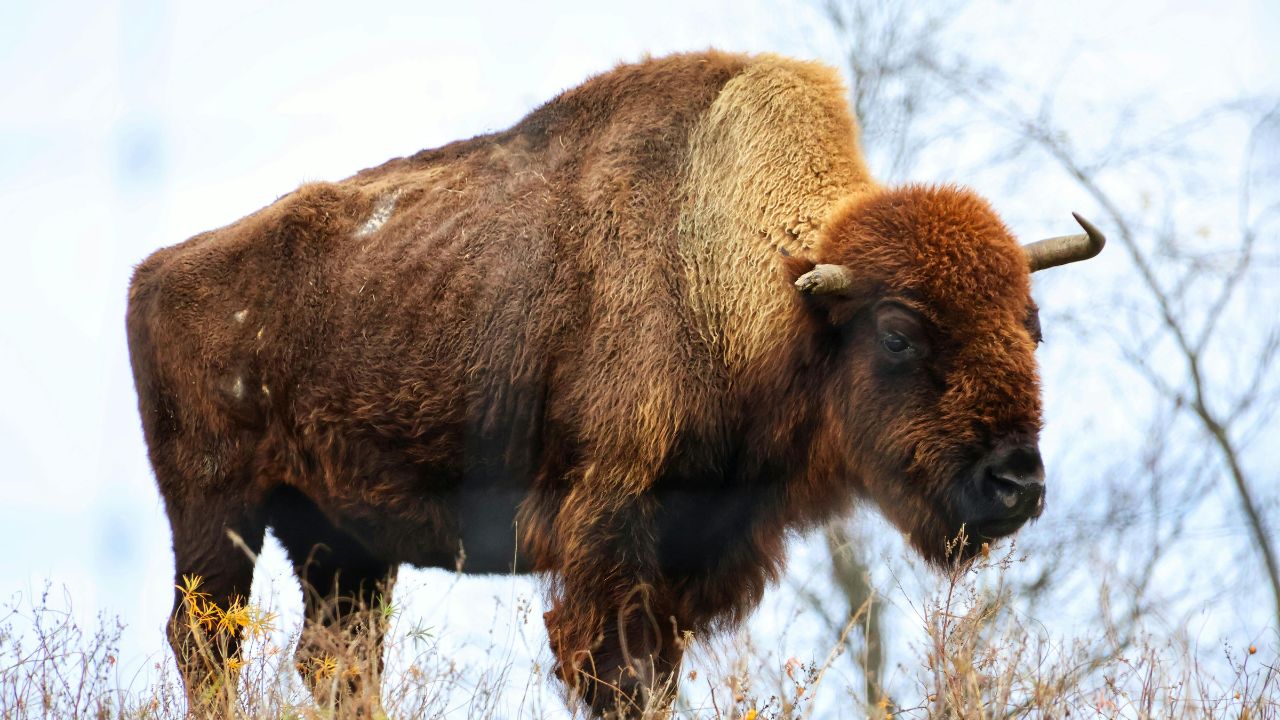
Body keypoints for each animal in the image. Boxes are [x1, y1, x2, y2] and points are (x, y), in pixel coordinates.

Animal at [126, 50, 1103, 716]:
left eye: (1032, 324)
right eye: (898, 334)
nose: (1015, 482)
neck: (739, 279)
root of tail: (158, 270)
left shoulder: (692, 560)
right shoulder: (611, 541)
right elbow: (619, 677)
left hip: (341, 543)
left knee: (335, 659)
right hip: (215, 513)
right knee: (208, 643)